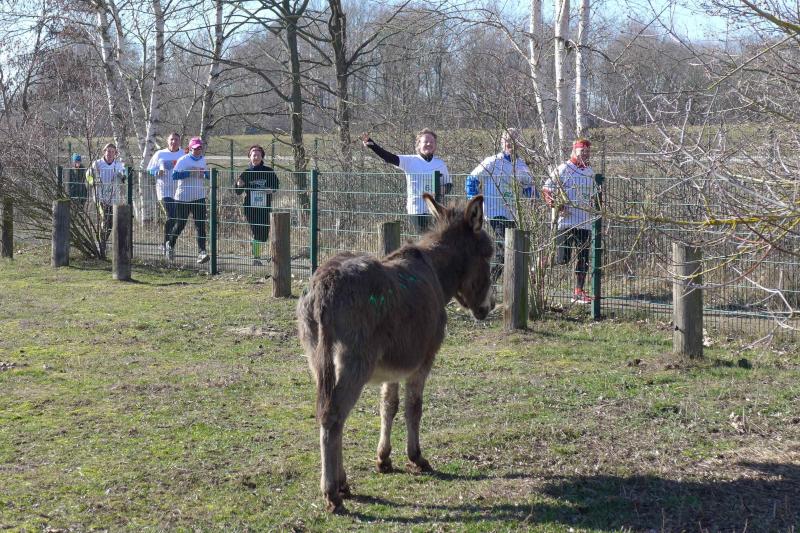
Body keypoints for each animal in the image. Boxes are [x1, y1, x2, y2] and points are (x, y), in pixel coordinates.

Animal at [296, 193, 495, 513]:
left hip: (318, 360)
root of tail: (324, 284)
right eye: (488, 255)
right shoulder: (423, 361)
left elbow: (388, 406)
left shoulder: (392, 367)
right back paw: (332, 493)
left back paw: (342, 483)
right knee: (333, 416)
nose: (488, 308)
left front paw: (384, 459)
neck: (435, 271)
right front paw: (416, 457)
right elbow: (414, 407)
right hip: (355, 364)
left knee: (331, 415)